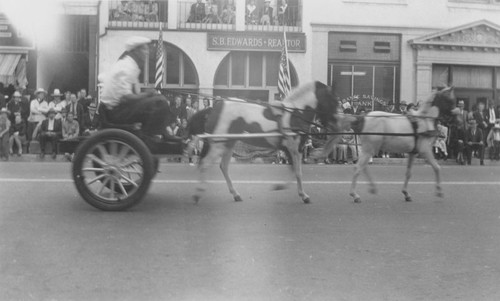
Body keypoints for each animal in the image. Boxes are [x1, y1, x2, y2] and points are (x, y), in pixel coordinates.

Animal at [188, 81, 340, 203]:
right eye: (333, 100)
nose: (335, 122)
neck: (295, 114)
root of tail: (215, 107)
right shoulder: (294, 149)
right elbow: (297, 172)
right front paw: (301, 194)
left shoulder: (291, 150)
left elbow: (294, 171)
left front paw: (288, 189)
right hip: (218, 145)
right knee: (205, 164)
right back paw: (197, 193)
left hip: (228, 144)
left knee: (223, 166)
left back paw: (235, 194)